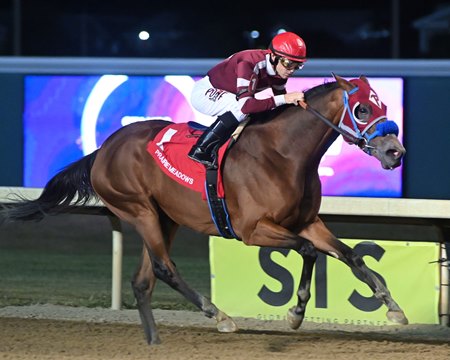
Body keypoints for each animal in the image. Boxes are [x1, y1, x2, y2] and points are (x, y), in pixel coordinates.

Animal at [0, 73, 408, 344]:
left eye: (384, 104)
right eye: (362, 108)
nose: (395, 152)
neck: (284, 154)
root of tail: (103, 149)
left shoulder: (307, 221)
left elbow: (351, 255)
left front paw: (393, 306)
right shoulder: (253, 230)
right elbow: (308, 252)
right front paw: (294, 314)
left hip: (165, 217)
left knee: (143, 279)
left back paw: (154, 340)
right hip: (139, 210)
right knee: (164, 268)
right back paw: (220, 316)